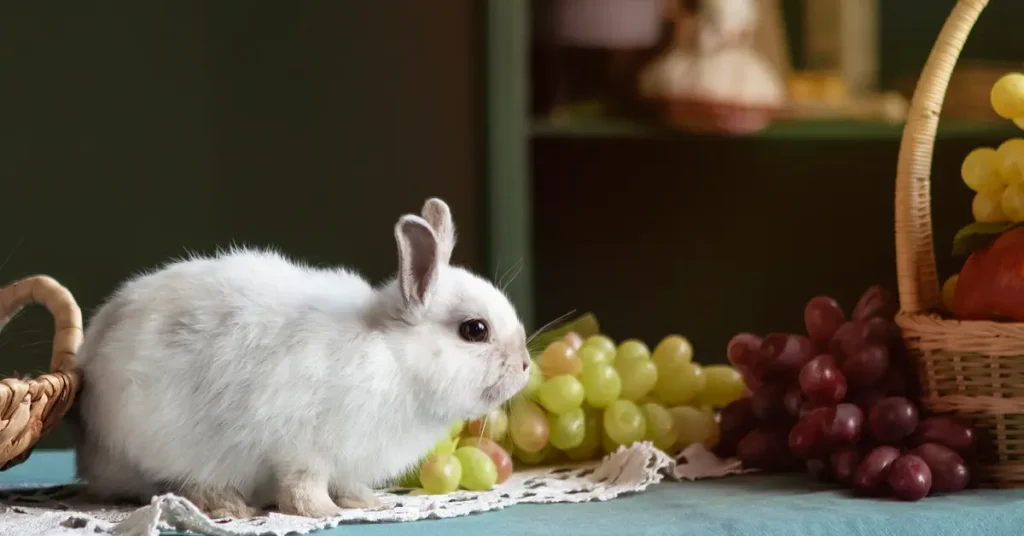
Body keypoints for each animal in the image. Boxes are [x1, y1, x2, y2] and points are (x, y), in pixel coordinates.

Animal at [70, 198, 532, 519]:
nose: (526, 366)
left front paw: (370, 504)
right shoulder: (302, 452)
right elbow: (302, 491)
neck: (396, 359)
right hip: (175, 445)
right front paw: (326, 513)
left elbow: (349, 485)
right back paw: (233, 507)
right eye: (475, 330)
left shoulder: (348, 462)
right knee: (181, 485)